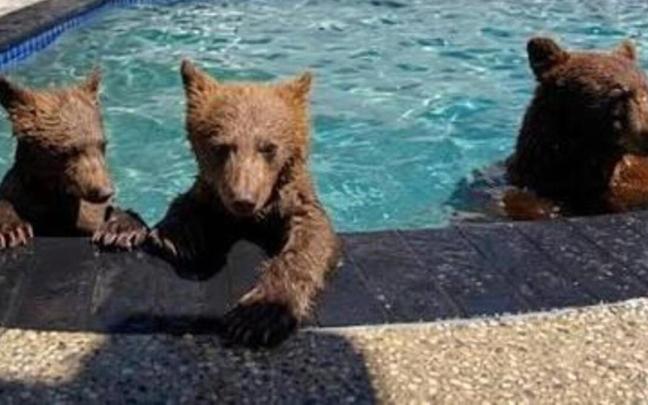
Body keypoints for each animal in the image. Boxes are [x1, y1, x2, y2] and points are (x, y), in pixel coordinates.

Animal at [0, 71, 148, 249]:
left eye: (102, 145)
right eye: (71, 150)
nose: (105, 191)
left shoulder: (87, 214)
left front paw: (120, 230)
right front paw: (12, 230)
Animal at [148, 60, 342, 347]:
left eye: (269, 147)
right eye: (221, 146)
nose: (243, 200)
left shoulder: (295, 198)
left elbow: (312, 237)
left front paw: (257, 316)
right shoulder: (212, 192)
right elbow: (186, 202)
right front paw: (177, 237)